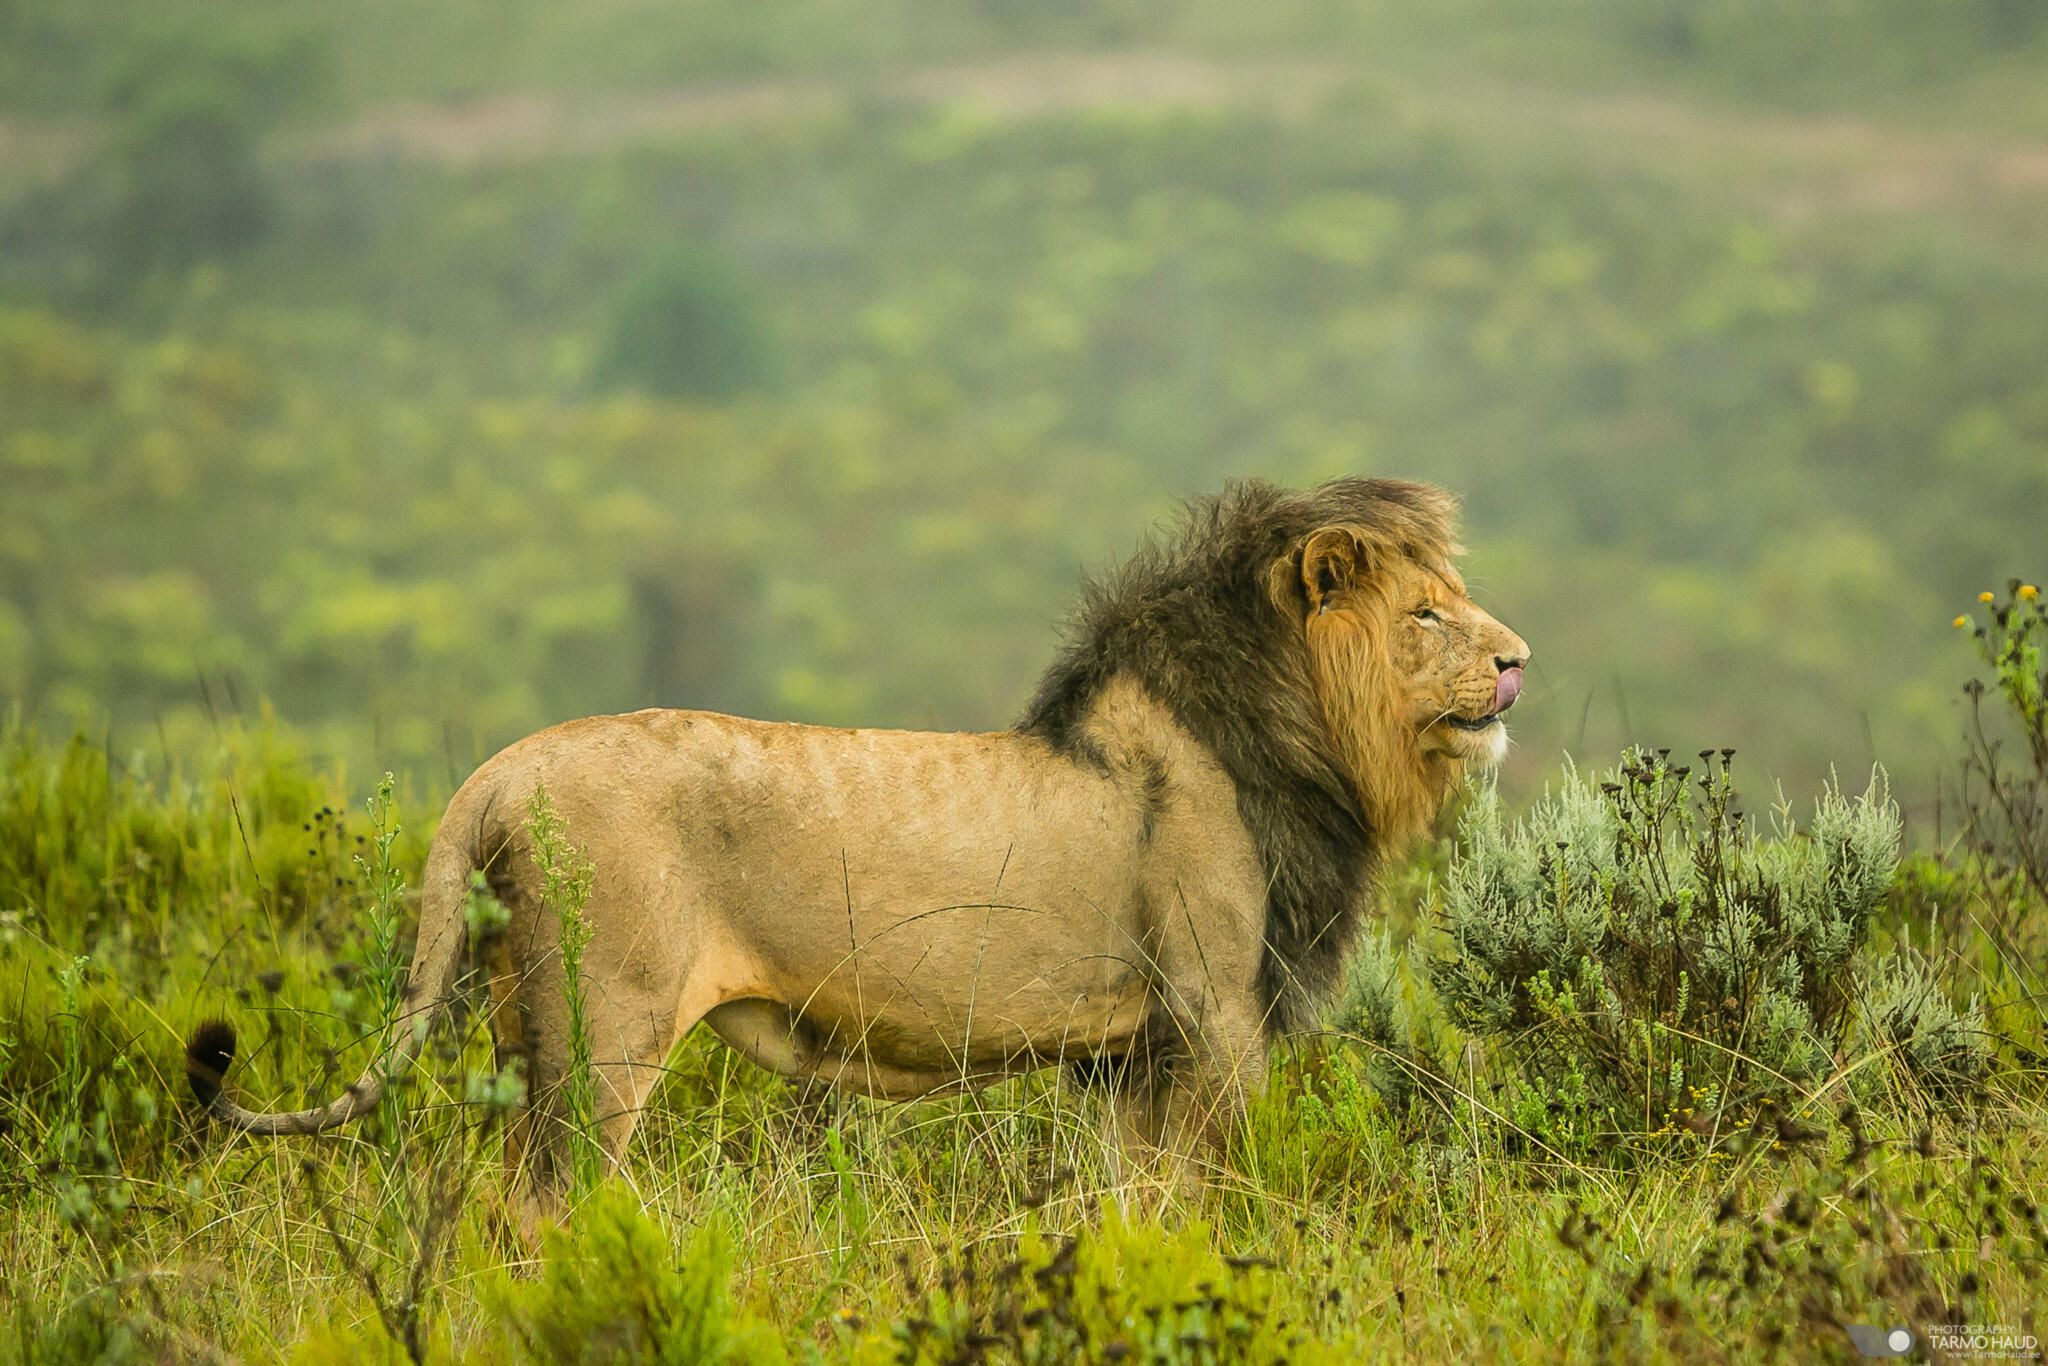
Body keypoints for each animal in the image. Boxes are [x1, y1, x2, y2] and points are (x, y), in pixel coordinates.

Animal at [186, 477, 1528, 1193]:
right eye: (1426, 615)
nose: (1517, 660)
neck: (1297, 740)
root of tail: (496, 772)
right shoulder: (1213, 1018)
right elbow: (1213, 1197)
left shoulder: (1131, 1058)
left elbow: (1131, 1200)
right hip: (600, 1029)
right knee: (552, 1209)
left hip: (521, 1024)